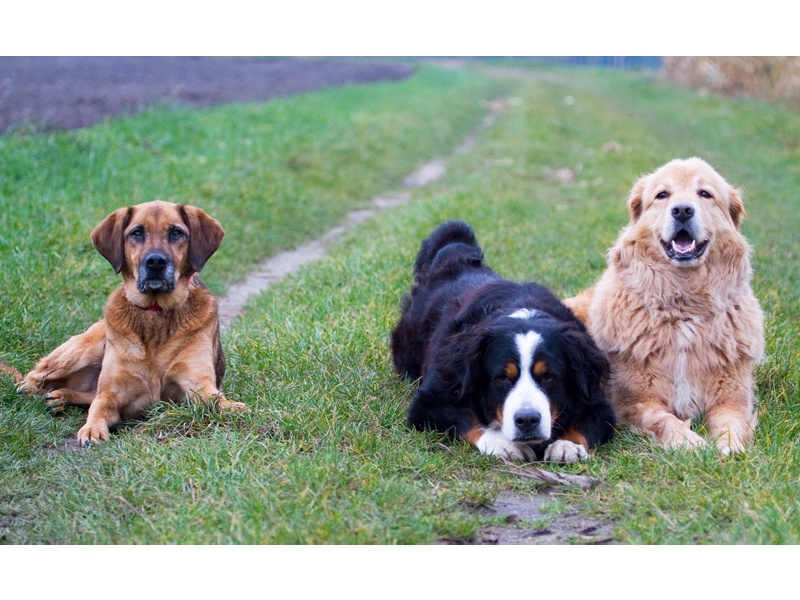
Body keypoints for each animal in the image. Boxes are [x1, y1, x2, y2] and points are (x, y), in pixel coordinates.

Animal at [21, 202, 244, 446]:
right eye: (137, 232)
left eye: (176, 232)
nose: (155, 261)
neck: (155, 314)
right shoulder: (113, 392)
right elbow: (99, 407)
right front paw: (91, 429)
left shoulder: (196, 383)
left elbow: (215, 399)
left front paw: (233, 407)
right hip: (83, 350)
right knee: (36, 376)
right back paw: (29, 391)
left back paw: (58, 397)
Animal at [390, 221, 616, 464]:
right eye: (502, 378)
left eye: (548, 376)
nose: (527, 420)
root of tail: (453, 255)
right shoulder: (430, 401)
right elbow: (468, 419)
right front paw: (503, 444)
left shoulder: (597, 402)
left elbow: (585, 424)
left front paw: (567, 445)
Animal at [564, 159, 764, 454]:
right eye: (662, 195)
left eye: (705, 193)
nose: (682, 210)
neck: (684, 307)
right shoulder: (636, 402)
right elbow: (663, 419)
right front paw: (690, 442)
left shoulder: (732, 399)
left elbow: (731, 424)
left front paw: (729, 449)